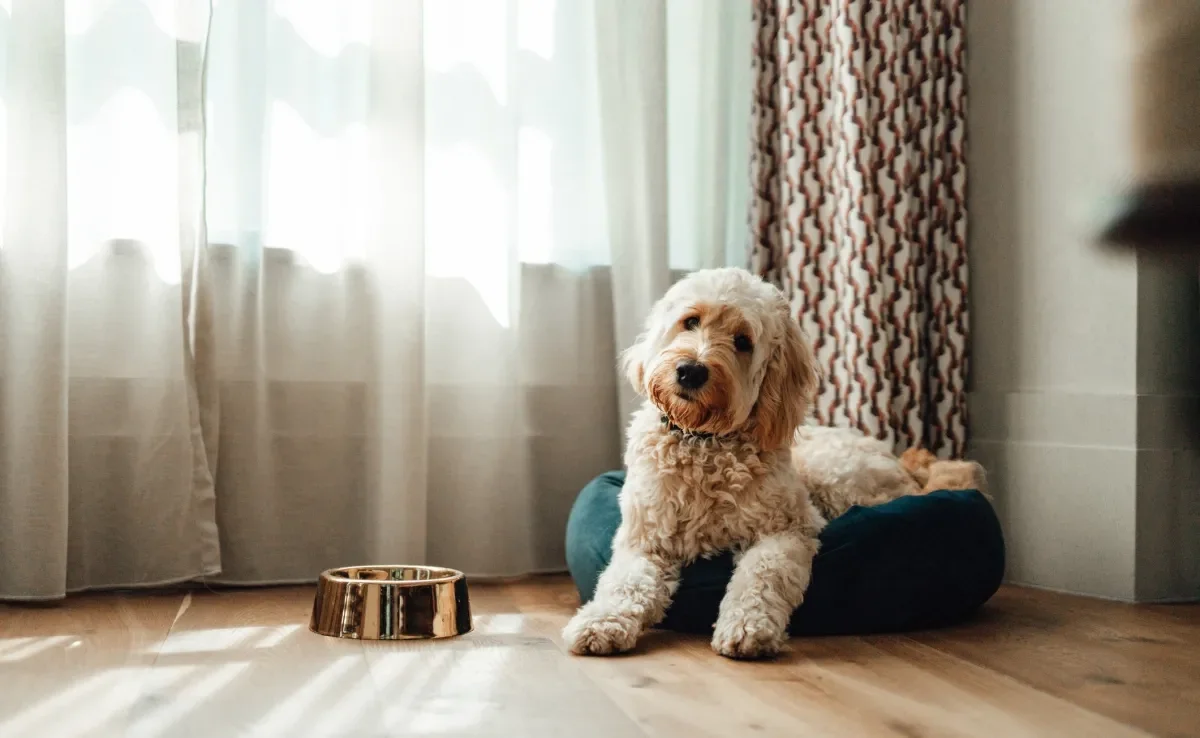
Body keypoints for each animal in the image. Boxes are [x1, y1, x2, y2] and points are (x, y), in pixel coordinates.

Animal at [561, 268, 984, 662]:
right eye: (691, 321)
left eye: (743, 342)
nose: (691, 371)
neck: (704, 444)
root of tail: (904, 465)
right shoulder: (644, 539)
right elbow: (623, 583)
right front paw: (601, 621)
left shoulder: (787, 529)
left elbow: (761, 575)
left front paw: (748, 627)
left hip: (836, 478)